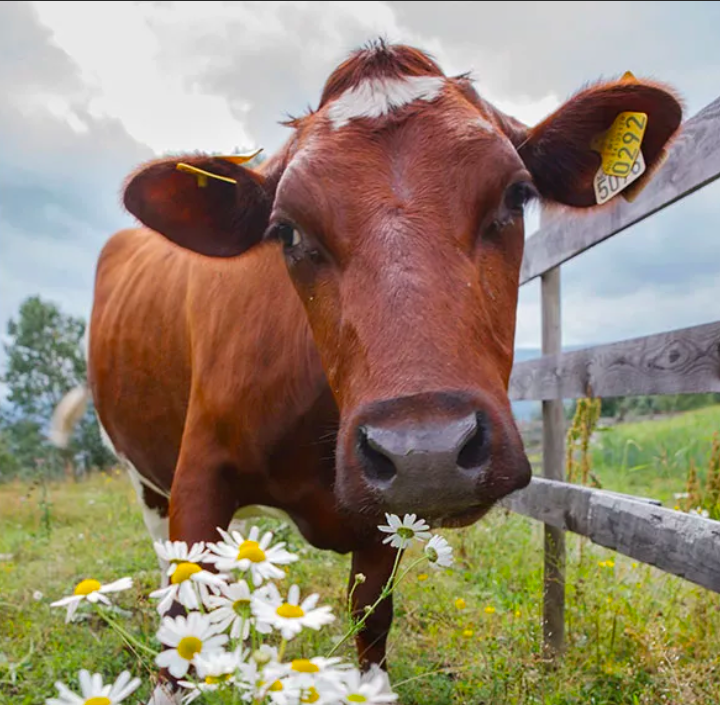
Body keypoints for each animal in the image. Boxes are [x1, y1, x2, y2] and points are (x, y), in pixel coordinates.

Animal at [52, 41, 680, 700]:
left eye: (515, 195)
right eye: (286, 230)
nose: (426, 452)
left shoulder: (389, 518)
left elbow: (371, 621)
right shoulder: (199, 477)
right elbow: (182, 631)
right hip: (146, 479)